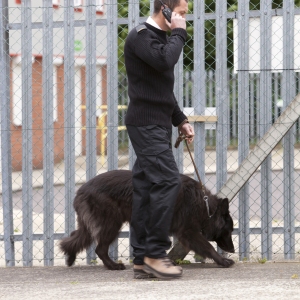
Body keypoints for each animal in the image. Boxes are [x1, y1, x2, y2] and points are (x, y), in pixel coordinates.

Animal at [59, 169, 236, 270]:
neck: (204, 205)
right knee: (100, 249)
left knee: (74, 238)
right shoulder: (188, 232)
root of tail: (81, 190)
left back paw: (70, 257)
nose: (233, 250)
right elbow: (208, 247)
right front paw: (222, 261)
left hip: (94, 226)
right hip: (111, 225)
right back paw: (113, 266)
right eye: (229, 231)